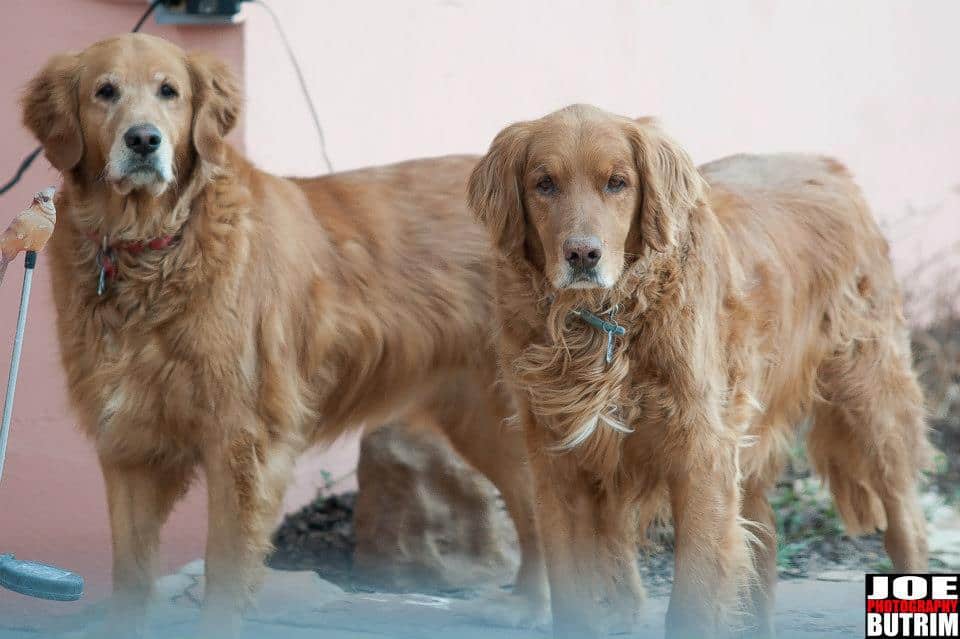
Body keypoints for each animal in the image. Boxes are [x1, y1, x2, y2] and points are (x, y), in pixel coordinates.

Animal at [20, 35, 548, 639]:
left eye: (169, 91)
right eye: (105, 91)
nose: (144, 140)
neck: (152, 246)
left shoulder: (241, 442)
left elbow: (224, 575)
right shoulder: (129, 444)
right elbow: (130, 577)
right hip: (482, 419)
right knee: (534, 508)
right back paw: (529, 604)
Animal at [468, 102, 932, 636]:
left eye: (617, 182)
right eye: (544, 183)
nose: (583, 254)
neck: (602, 322)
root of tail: (830, 167)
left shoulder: (701, 457)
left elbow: (692, 596)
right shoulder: (557, 467)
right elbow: (573, 600)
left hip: (871, 401)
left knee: (905, 526)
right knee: (763, 542)